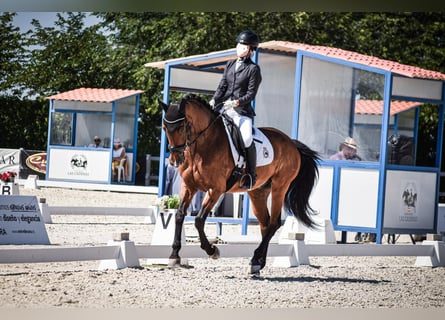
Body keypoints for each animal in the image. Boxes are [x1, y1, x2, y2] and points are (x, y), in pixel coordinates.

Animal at [160, 93, 320, 276]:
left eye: (180, 128)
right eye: (164, 128)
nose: (175, 160)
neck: (203, 145)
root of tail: (292, 143)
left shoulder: (216, 189)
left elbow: (199, 220)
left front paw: (212, 251)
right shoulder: (188, 186)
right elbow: (179, 215)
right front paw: (174, 256)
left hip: (280, 187)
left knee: (273, 223)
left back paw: (256, 260)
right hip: (258, 192)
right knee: (265, 224)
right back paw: (257, 263)